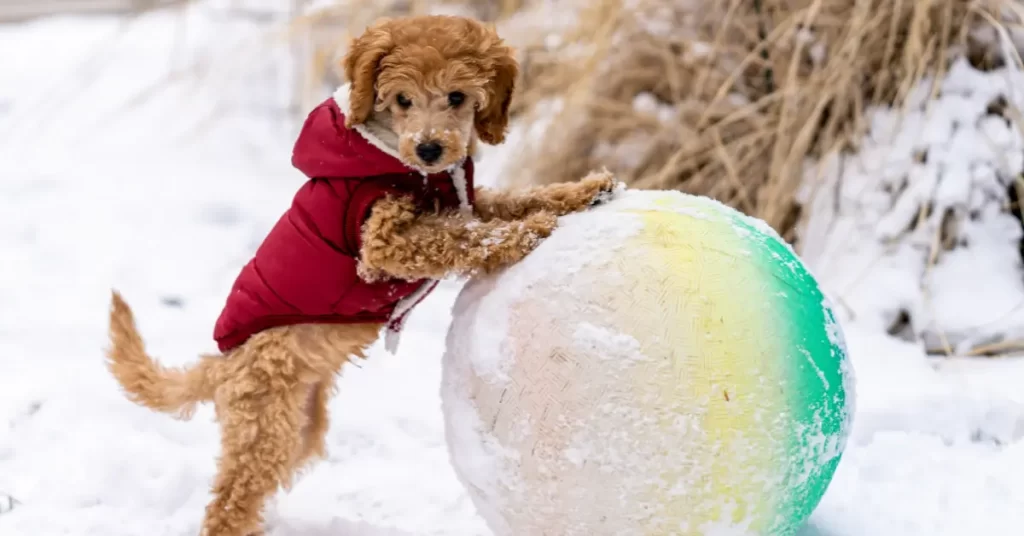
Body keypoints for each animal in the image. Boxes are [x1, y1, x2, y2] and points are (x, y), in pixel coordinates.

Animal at [105, 13, 614, 536]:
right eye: (402, 99)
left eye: (457, 96)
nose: (429, 148)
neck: (402, 161)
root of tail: (222, 365)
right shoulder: (381, 242)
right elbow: (459, 238)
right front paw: (529, 231)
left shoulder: (467, 201)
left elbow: (509, 201)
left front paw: (582, 191)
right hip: (263, 424)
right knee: (228, 504)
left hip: (299, 427)